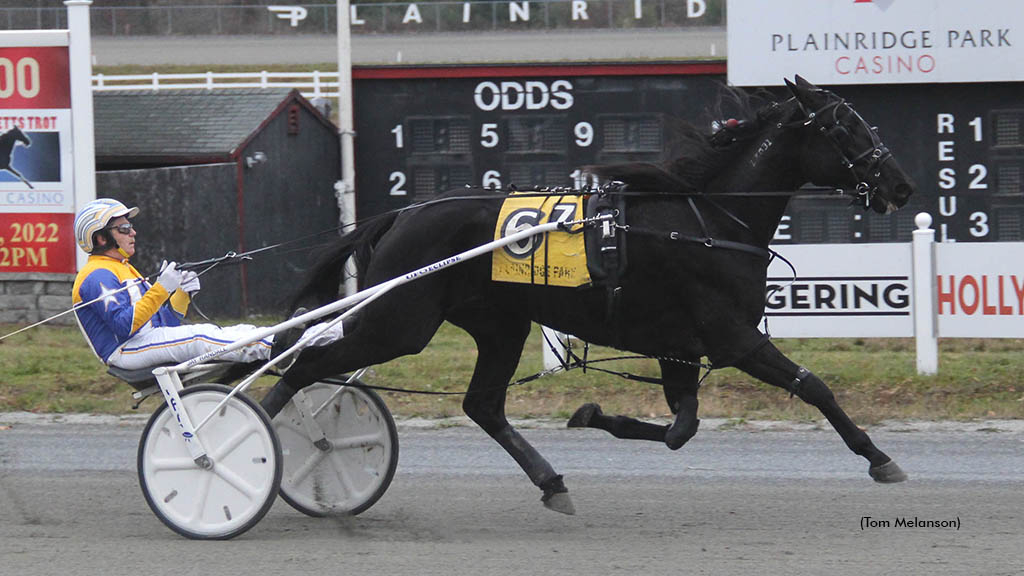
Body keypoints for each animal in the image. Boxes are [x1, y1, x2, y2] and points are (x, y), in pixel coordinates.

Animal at [260, 76, 917, 510]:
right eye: (843, 125)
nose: (900, 185)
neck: (708, 221)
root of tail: (402, 214)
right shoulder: (733, 338)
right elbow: (813, 386)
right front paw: (879, 458)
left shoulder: (679, 346)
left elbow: (681, 427)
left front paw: (595, 414)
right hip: (398, 322)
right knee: (304, 364)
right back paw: (254, 441)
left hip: (498, 324)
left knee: (483, 405)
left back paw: (551, 482)